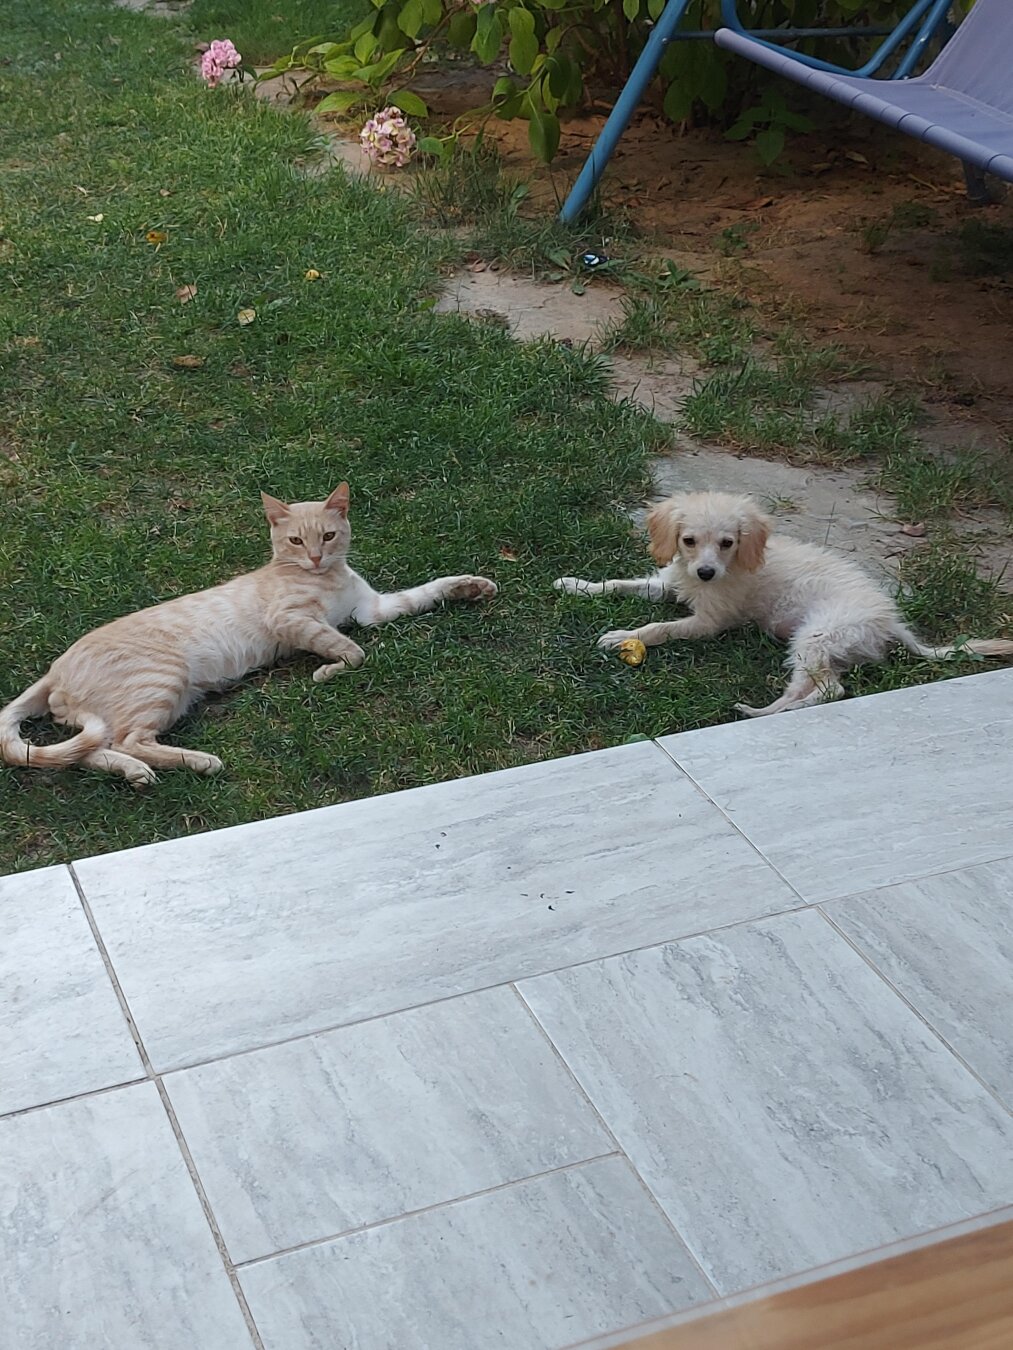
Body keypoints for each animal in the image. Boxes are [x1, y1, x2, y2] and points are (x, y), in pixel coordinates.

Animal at [1, 483, 496, 785]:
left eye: (328, 536)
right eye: (296, 541)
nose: (315, 557)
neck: (326, 578)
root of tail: (54, 669)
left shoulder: (371, 611)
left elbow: (423, 594)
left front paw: (470, 586)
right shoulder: (293, 621)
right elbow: (351, 650)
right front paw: (327, 672)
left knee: (85, 752)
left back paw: (135, 773)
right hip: (163, 682)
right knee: (125, 741)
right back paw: (198, 762)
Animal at [554, 491, 1013, 716]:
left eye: (728, 542)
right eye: (688, 540)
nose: (706, 573)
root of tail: (891, 623)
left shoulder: (709, 622)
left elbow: (659, 628)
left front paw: (622, 636)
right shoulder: (670, 582)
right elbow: (620, 584)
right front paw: (577, 586)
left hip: (816, 637)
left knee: (831, 689)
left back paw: (763, 711)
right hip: (827, 648)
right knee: (823, 685)